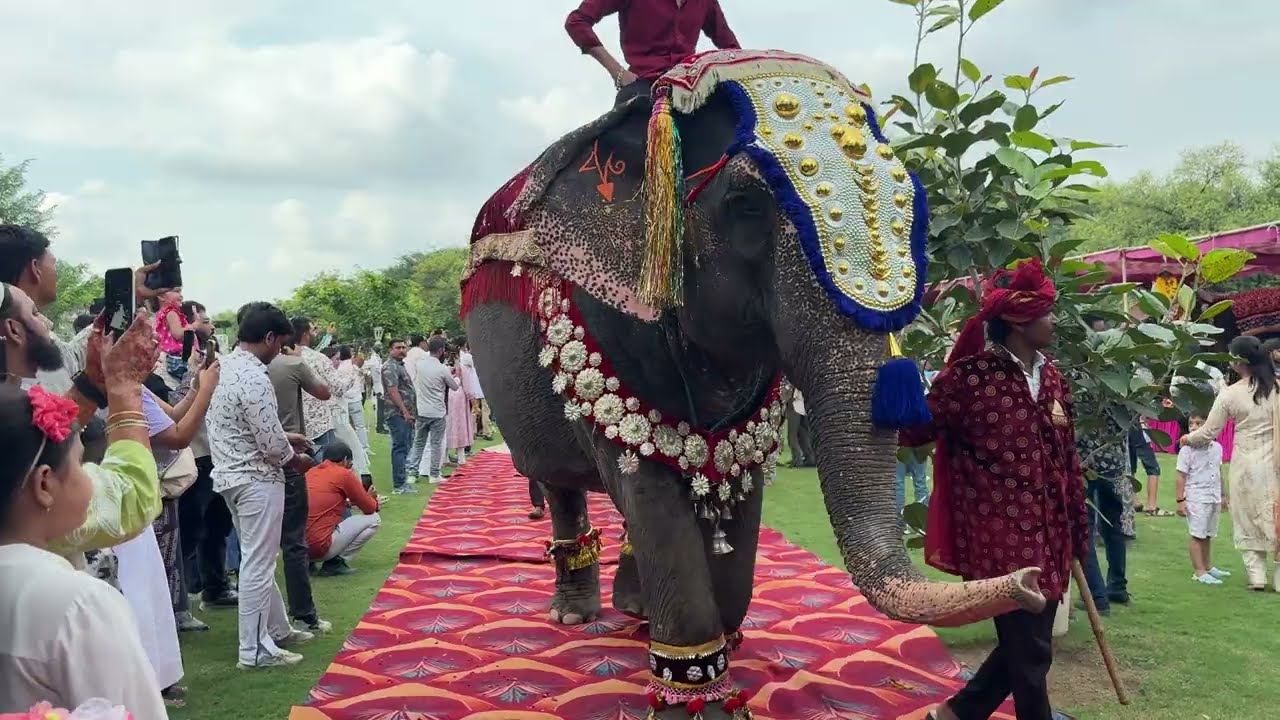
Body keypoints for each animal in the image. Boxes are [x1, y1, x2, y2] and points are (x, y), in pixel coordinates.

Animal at [461, 50, 1042, 718]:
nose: (1033, 582)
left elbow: (737, 493)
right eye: (745, 206)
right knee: (561, 483)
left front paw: (721, 655)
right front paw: (698, 696)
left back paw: (634, 610)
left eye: (913, 199)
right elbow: (647, 485)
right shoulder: (605, 315)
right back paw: (574, 617)